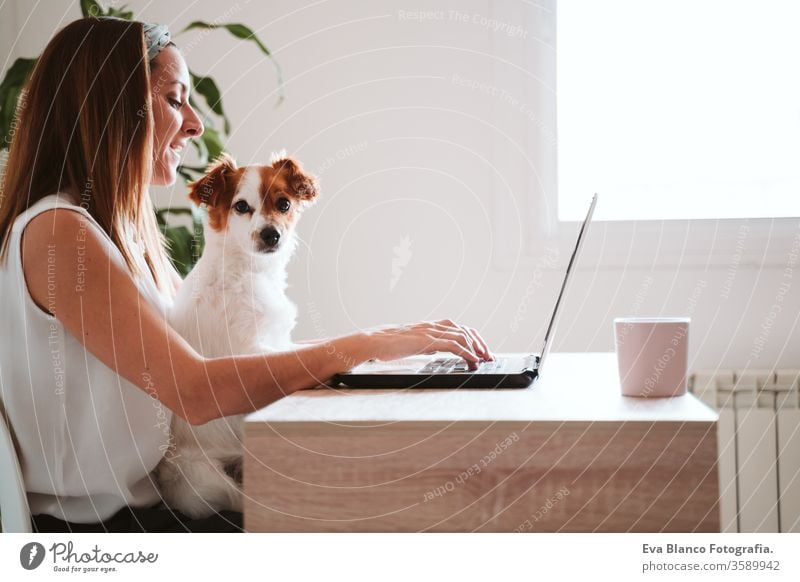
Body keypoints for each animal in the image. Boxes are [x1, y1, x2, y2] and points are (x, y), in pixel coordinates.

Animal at [156, 152, 318, 520]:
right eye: (241, 207)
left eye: (284, 204)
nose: (272, 235)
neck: (246, 271)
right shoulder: (250, 355)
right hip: (197, 480)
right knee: (235, 496)